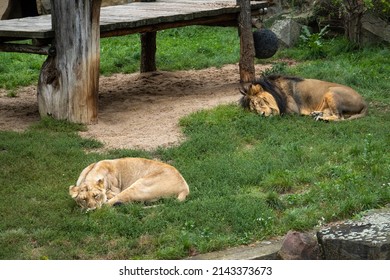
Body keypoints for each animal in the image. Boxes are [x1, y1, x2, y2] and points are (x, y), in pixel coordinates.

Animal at [239, 75, 368, 121]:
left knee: (339, 117)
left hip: (331, 92)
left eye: (259, 102)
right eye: (254, 110)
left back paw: (322, 118)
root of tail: (364, 102)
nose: (261, 114)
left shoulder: (292, 111)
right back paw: (317, 114)